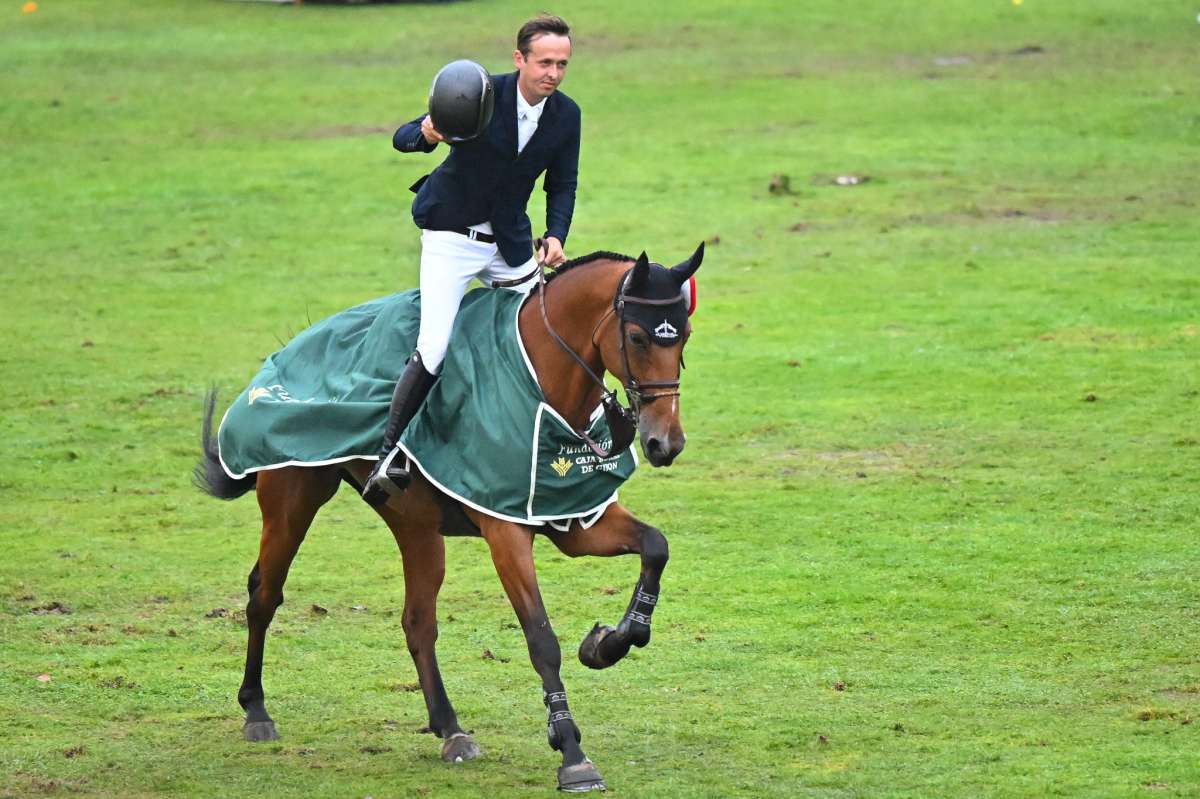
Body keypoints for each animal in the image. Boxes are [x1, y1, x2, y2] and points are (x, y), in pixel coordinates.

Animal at [194, 244, 700, 791]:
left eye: (684, 335)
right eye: (638, 337)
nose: (665, 443)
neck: (540, 381)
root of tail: (286, 354)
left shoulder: (573, 517)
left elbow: (656, 546)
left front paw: (609, 643)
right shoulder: (506, 532)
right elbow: (541, 638)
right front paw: (571, 754)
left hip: (415, 526)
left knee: (418, 621)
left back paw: (450, 728)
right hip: (293, 500)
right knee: (264, 595)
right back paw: (256, 711)